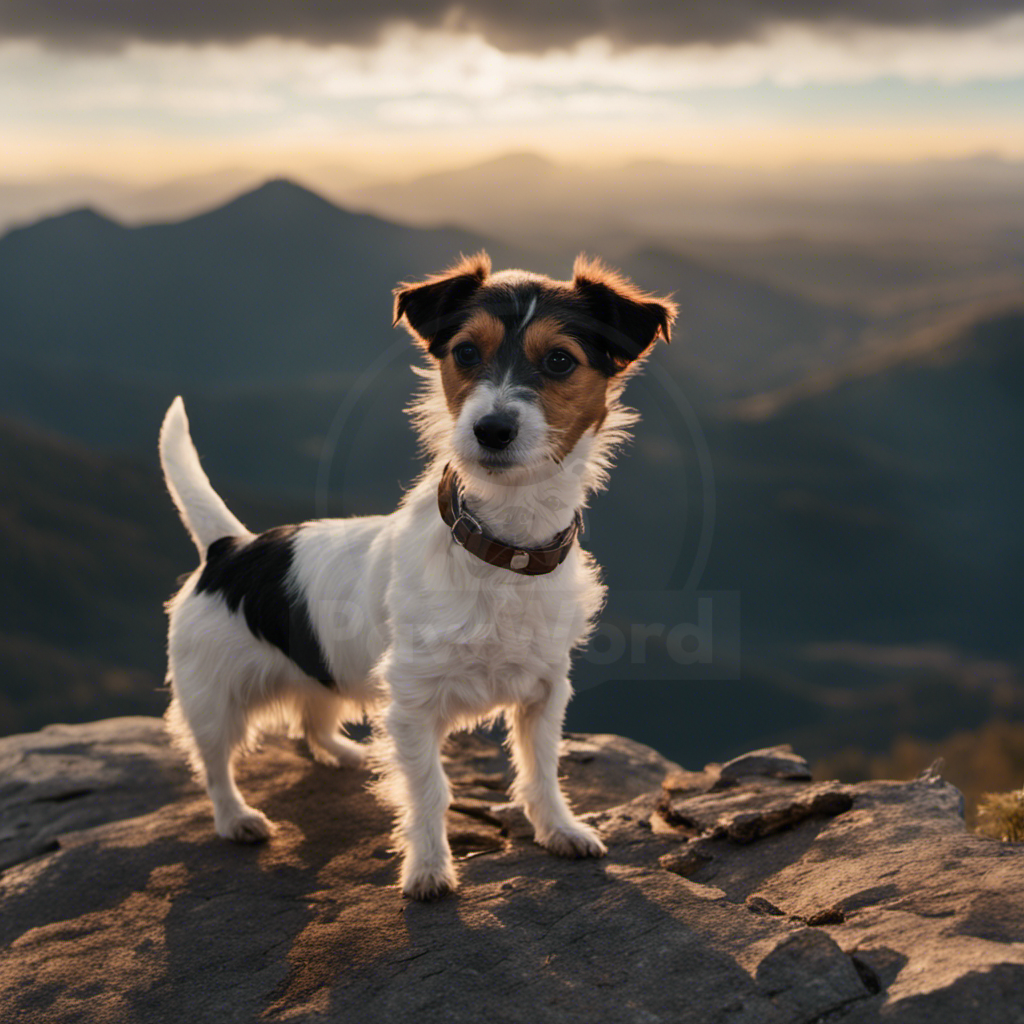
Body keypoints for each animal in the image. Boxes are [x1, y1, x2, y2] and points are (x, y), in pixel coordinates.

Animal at [159, 251, 675, 901]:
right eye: (466, 353)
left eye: (560, 360)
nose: (491, 429)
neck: (503, 549)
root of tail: (231, 548)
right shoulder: (411, 705)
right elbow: (428, 790)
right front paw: (428, 869)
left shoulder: (544, 691)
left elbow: (541, 769)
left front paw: (559, 829)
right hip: (212, 697)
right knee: (214, 762)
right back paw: (236, 818)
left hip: (323, 665)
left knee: (312, 716)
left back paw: (343, 753)